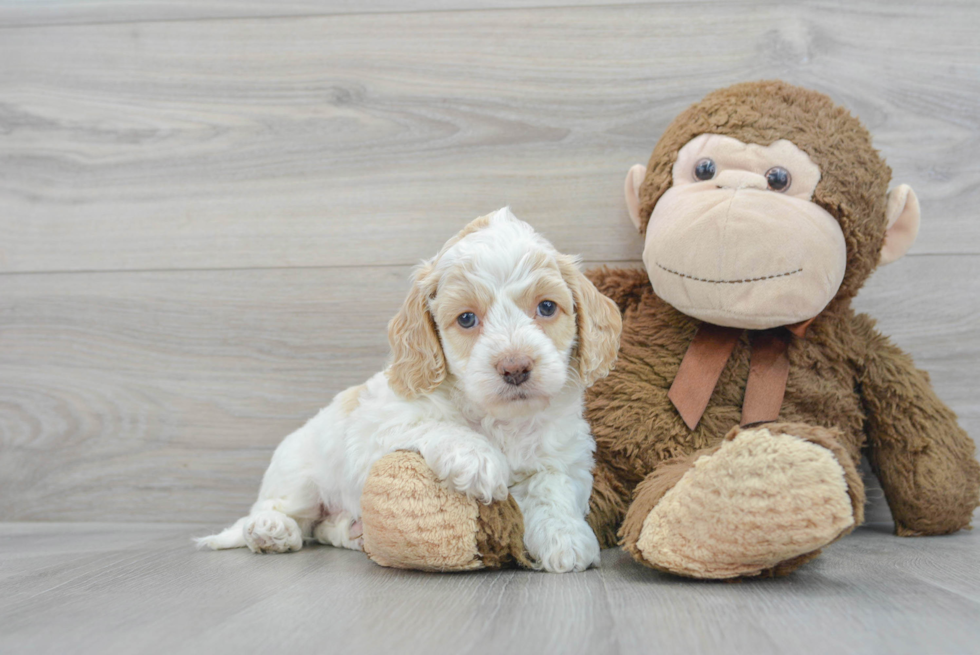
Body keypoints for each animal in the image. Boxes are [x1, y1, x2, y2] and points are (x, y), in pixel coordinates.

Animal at [198, 208, 620, 572]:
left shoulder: (565, 457)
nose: (515, 367)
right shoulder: (381, 425)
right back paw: (271, 531)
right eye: (467, 318)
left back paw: (352, 532)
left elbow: (553, 486)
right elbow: (436, 424)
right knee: (279, 511)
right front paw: (478, 459)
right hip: (299, 474)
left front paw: (565, 537)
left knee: (321, 528)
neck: (501, 419)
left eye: (547, 307)